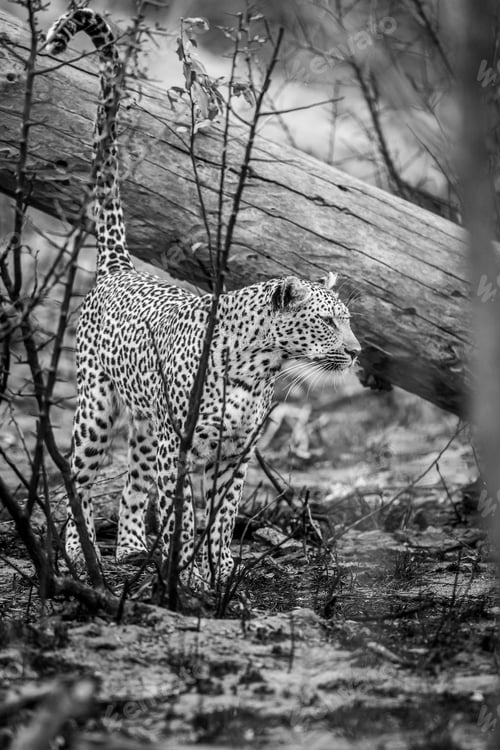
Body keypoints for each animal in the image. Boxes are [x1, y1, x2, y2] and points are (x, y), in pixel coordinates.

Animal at [46, 7, 361, 589]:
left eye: (348, 321)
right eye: (329, 323)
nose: (355, 353)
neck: (259, 366)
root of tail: (119, 267)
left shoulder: (237, 452)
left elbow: (222, 516)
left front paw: (223, 574)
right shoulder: (183, 446)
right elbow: (183, 513)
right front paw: (189, 581)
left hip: (146, 425)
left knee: (131, 485)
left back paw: (131, 553)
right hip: (97, 408)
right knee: (76, 484)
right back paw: (84, 559)